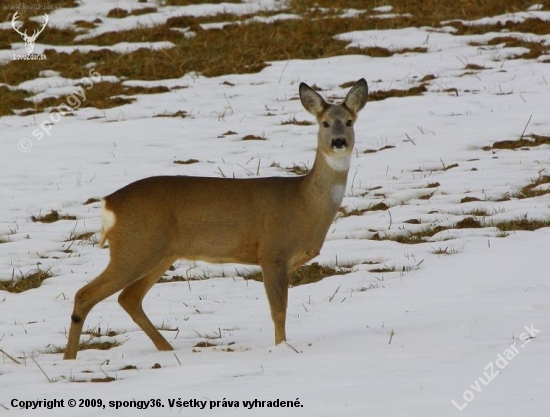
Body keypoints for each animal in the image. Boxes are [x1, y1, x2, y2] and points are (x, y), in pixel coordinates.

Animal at [62, 78, 368, 358]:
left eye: (349, 121)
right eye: (325, 123)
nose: (338, 141)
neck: (304, 202)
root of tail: (109, 204)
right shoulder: (272, 252)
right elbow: (278, 310)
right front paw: (282, 348)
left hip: (162, 253)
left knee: (129, 298)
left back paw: (167, 349)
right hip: (136, 247)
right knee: (85, 295)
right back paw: (69, 360)